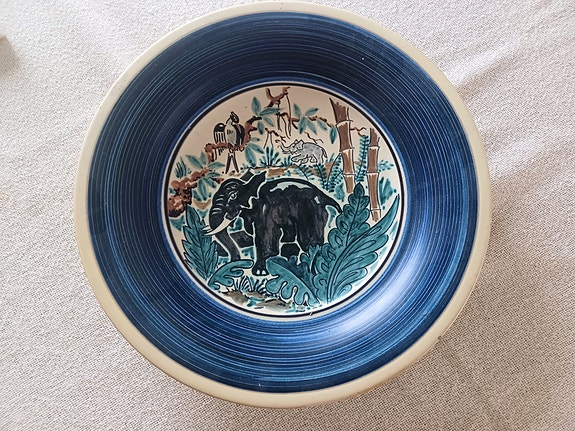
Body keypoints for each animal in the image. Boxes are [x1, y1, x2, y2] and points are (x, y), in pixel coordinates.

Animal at [205, 172, 341, 275]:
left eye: (233, 197)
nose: (234, 262)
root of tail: (324, 196)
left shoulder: (266, 211)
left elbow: (265, 239)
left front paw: (259, 272)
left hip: (311, 213)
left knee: (310, 242)